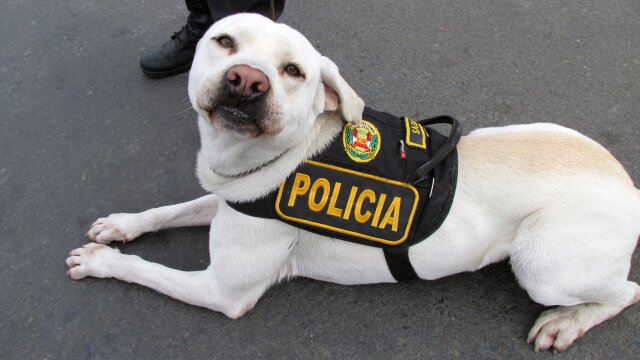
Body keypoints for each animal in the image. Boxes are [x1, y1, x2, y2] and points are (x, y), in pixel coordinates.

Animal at [66, 13, 640, 352]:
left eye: (294, 71)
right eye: (224, 42)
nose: (247, 81)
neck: (272, 158)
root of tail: (631, 189)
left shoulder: (223, 290)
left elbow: (146, 269)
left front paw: (101, 261)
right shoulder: (231, 198)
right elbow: (173, 210)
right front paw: (119, 226)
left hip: (542, 266)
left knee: (627, 291)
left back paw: (566, 322)